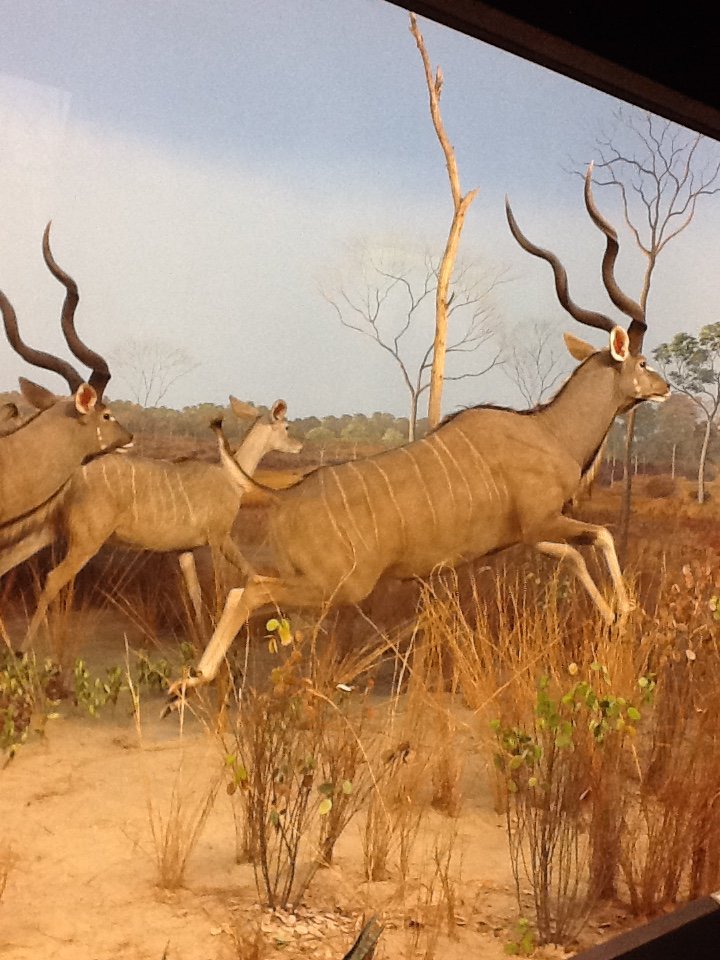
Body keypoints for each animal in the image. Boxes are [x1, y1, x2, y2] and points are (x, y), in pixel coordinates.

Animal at [19, 398, 302, 648]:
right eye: (287, 427)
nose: (300, 446)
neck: (233, 480)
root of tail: (71, 478)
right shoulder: (220, 535)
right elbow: (248, 576)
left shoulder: (185, 550)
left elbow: (195, 593)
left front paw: (201, 637)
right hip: (87, 539)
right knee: (53, 578)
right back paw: (27, 646)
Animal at [165, 167, 670, 708]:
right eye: (642, 361)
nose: (664, 387)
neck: (547, 429)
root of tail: (281, 495)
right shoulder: (545, 520)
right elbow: (601, 536)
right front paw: (625, 612)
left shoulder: (532, 535)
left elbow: (576, 555)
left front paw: (614, 616)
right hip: (339, 586)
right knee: (249, 592)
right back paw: (193, 679)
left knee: (249, 592)